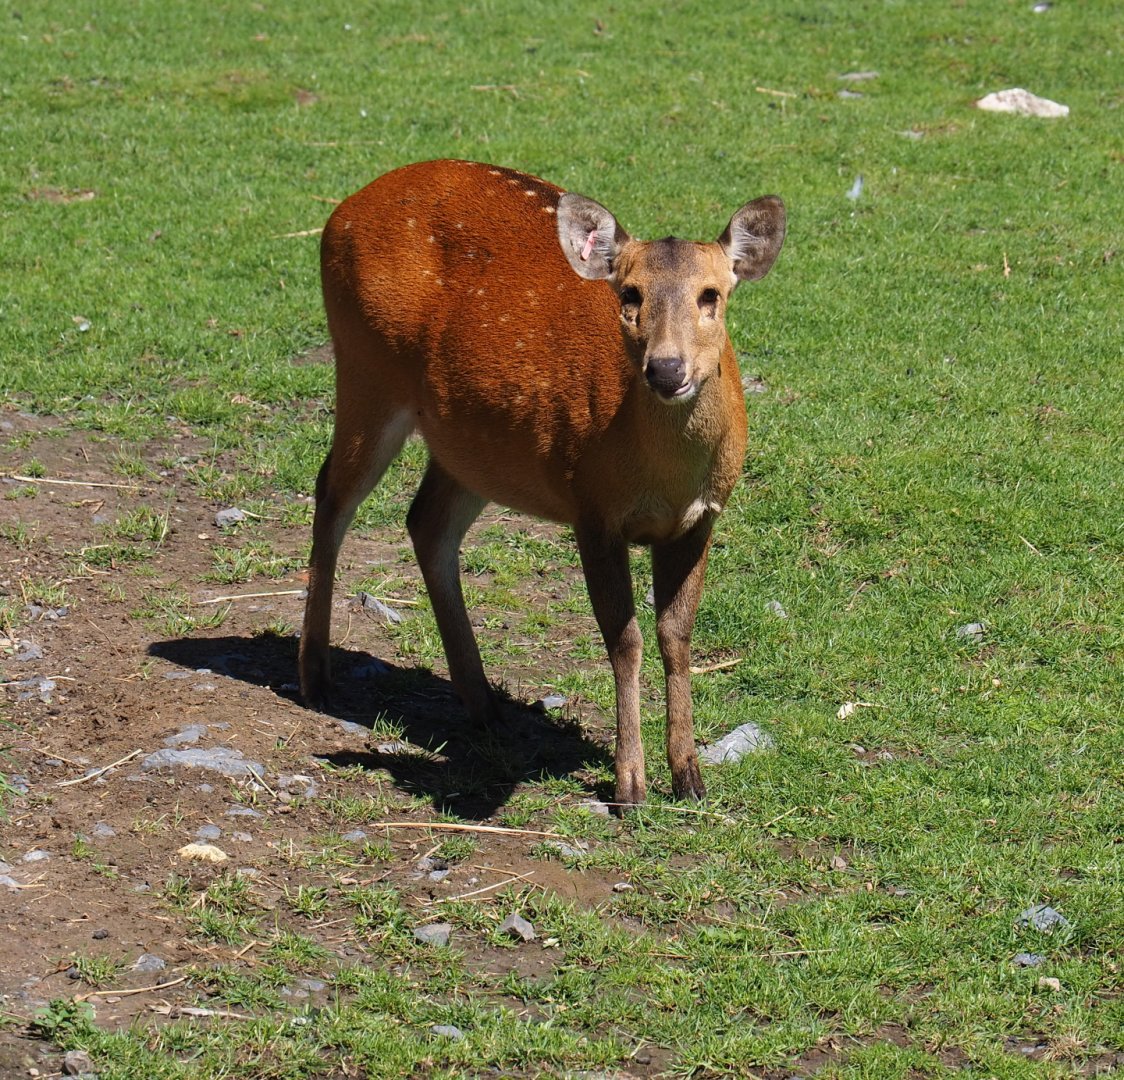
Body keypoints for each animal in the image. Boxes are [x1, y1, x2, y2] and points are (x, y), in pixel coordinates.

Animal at [299, 159, 785, 806]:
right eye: (630, 294)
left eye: (713, 295)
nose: (666, 369)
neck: (665, 480)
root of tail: (339, 213)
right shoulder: (592, 507)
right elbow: (625, 638)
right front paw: (630, 784)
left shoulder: (701, 517)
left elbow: (676, 636)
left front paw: (689, 777)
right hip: (365, 370)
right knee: (331, 495)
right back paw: (315, 676)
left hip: (468, 441)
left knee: (426, 521)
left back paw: (483, 703)